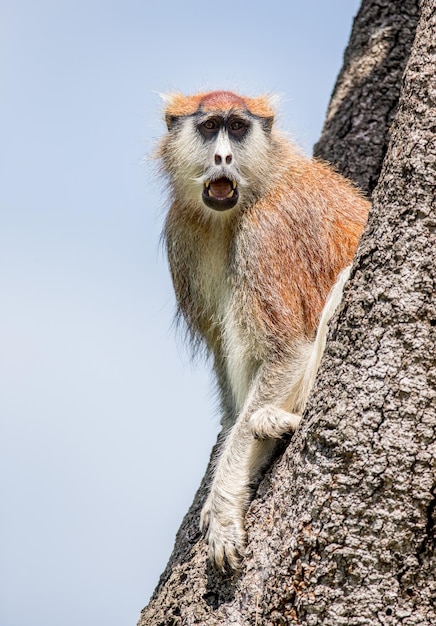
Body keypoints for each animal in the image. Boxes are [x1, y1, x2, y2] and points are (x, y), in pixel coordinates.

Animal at [158, 89, 370, 572]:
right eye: (209, 126)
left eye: (237, 127)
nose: (223, 155)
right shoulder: (183, 235)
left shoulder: (265, 231)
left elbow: (287, 350)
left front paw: (222, 504)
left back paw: (279, 420)